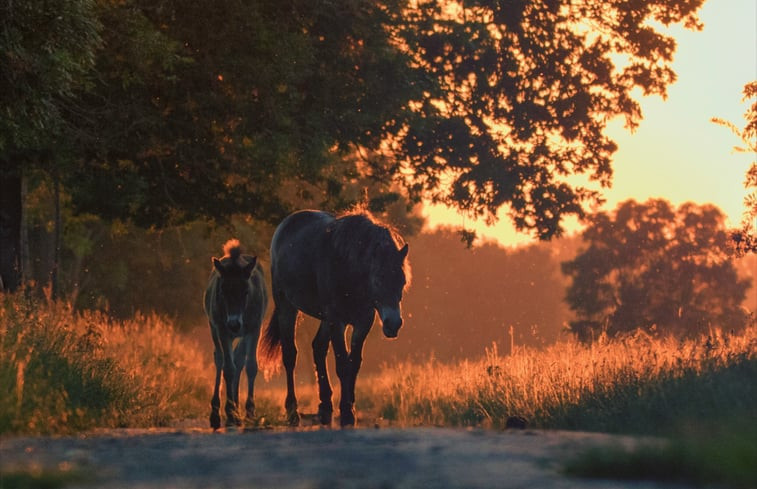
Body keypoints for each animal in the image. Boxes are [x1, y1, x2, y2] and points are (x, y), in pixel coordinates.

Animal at [204, 239, 268, 428]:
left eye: (246, 291)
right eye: (222, 290)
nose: (234, 324)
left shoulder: (254, 328)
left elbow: (250, 365)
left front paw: (249, 412)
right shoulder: (222, 329)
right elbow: (228, 368)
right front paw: (230, 412)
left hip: (242, 333)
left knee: (239, 359)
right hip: (214, 327)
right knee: (219, 359)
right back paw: (217, 413)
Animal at [262, 210, 410, 428]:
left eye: (402, 281)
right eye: (378, 280)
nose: (394, 324)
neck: (348, 268)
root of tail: (286, 224)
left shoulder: (363, 321)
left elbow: (354, 363)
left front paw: (350, 407)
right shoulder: (337, 321)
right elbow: (342, 364)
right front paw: (347, 412)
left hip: (324, 319)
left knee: (318, 348)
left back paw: (325, 407)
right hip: (287, 307)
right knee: (290, 355)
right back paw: (292, 411)